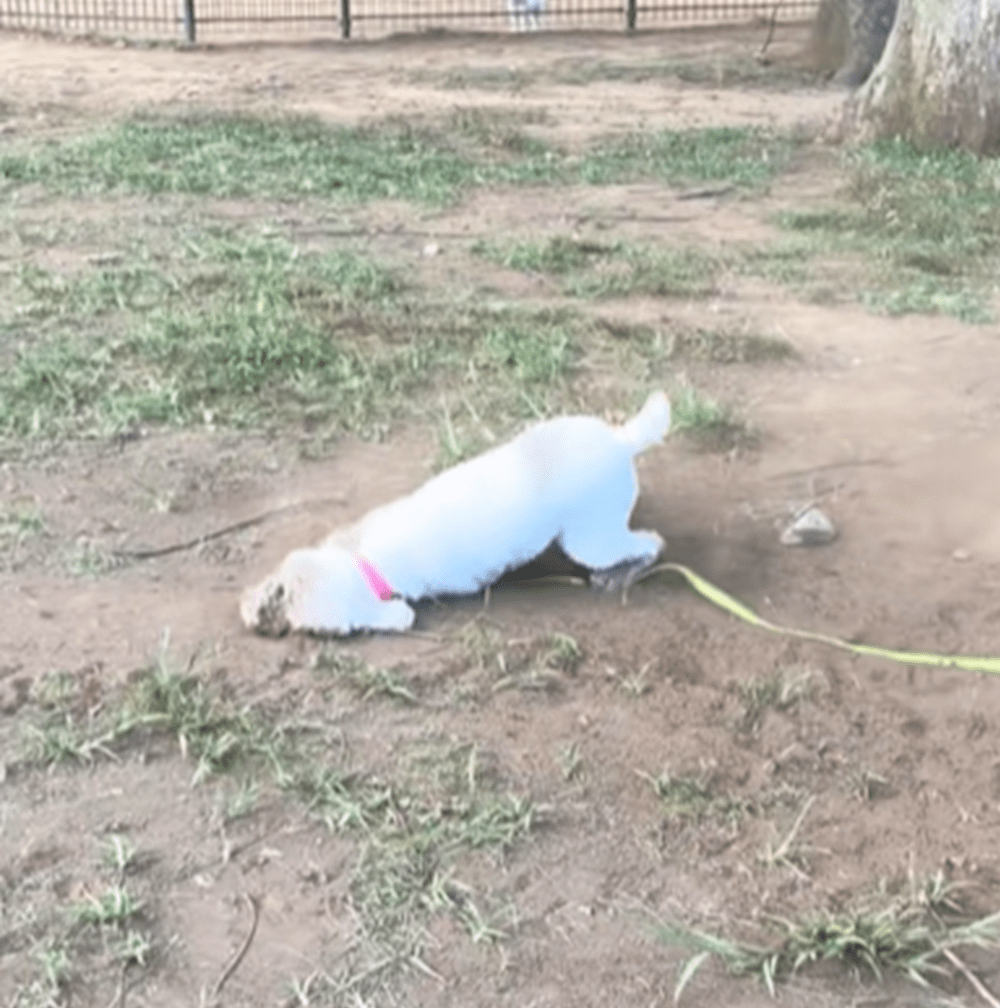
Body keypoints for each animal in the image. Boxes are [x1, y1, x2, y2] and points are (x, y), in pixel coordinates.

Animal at [241, 390, 670, 637]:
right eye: (277, 589)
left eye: (303, 625)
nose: (249, 613)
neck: (367, 559)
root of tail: (621, 440)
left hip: (591, 540)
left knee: (651, 543)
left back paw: (619, 574)